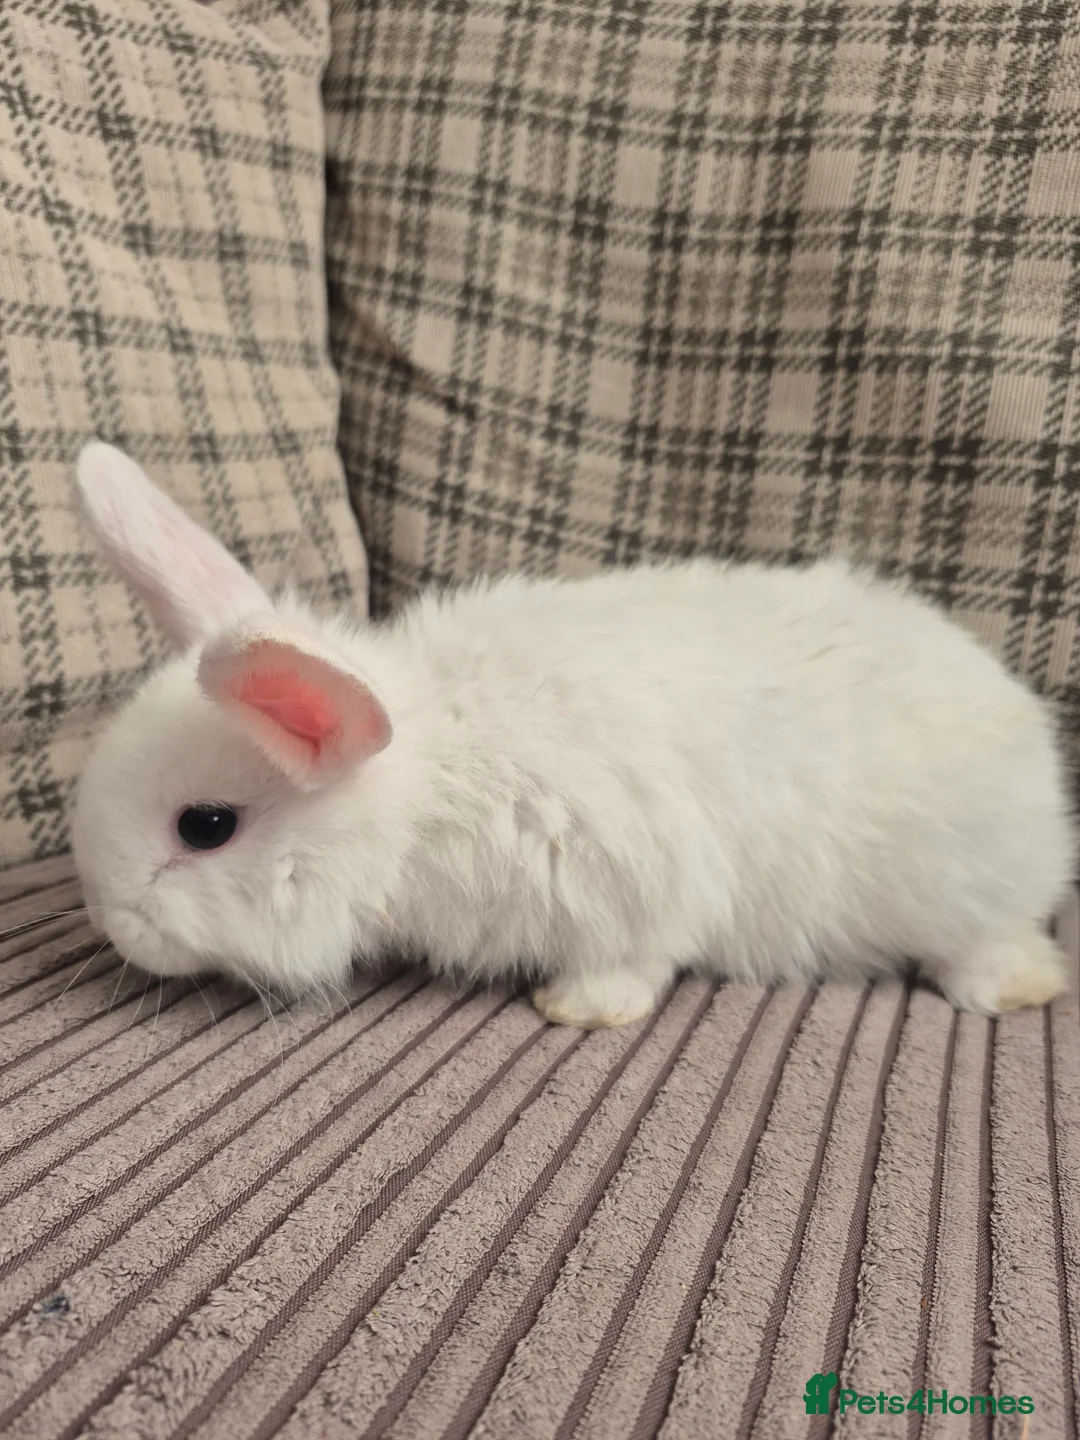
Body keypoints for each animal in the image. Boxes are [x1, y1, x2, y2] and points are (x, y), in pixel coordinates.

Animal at [68, 441, 1076, 1029]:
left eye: (205, 827)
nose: (114, 927)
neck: (424, 792)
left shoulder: (627, 876)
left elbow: (630, 963)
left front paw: (576, 1010)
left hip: (968, 887)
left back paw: (1012, 988)